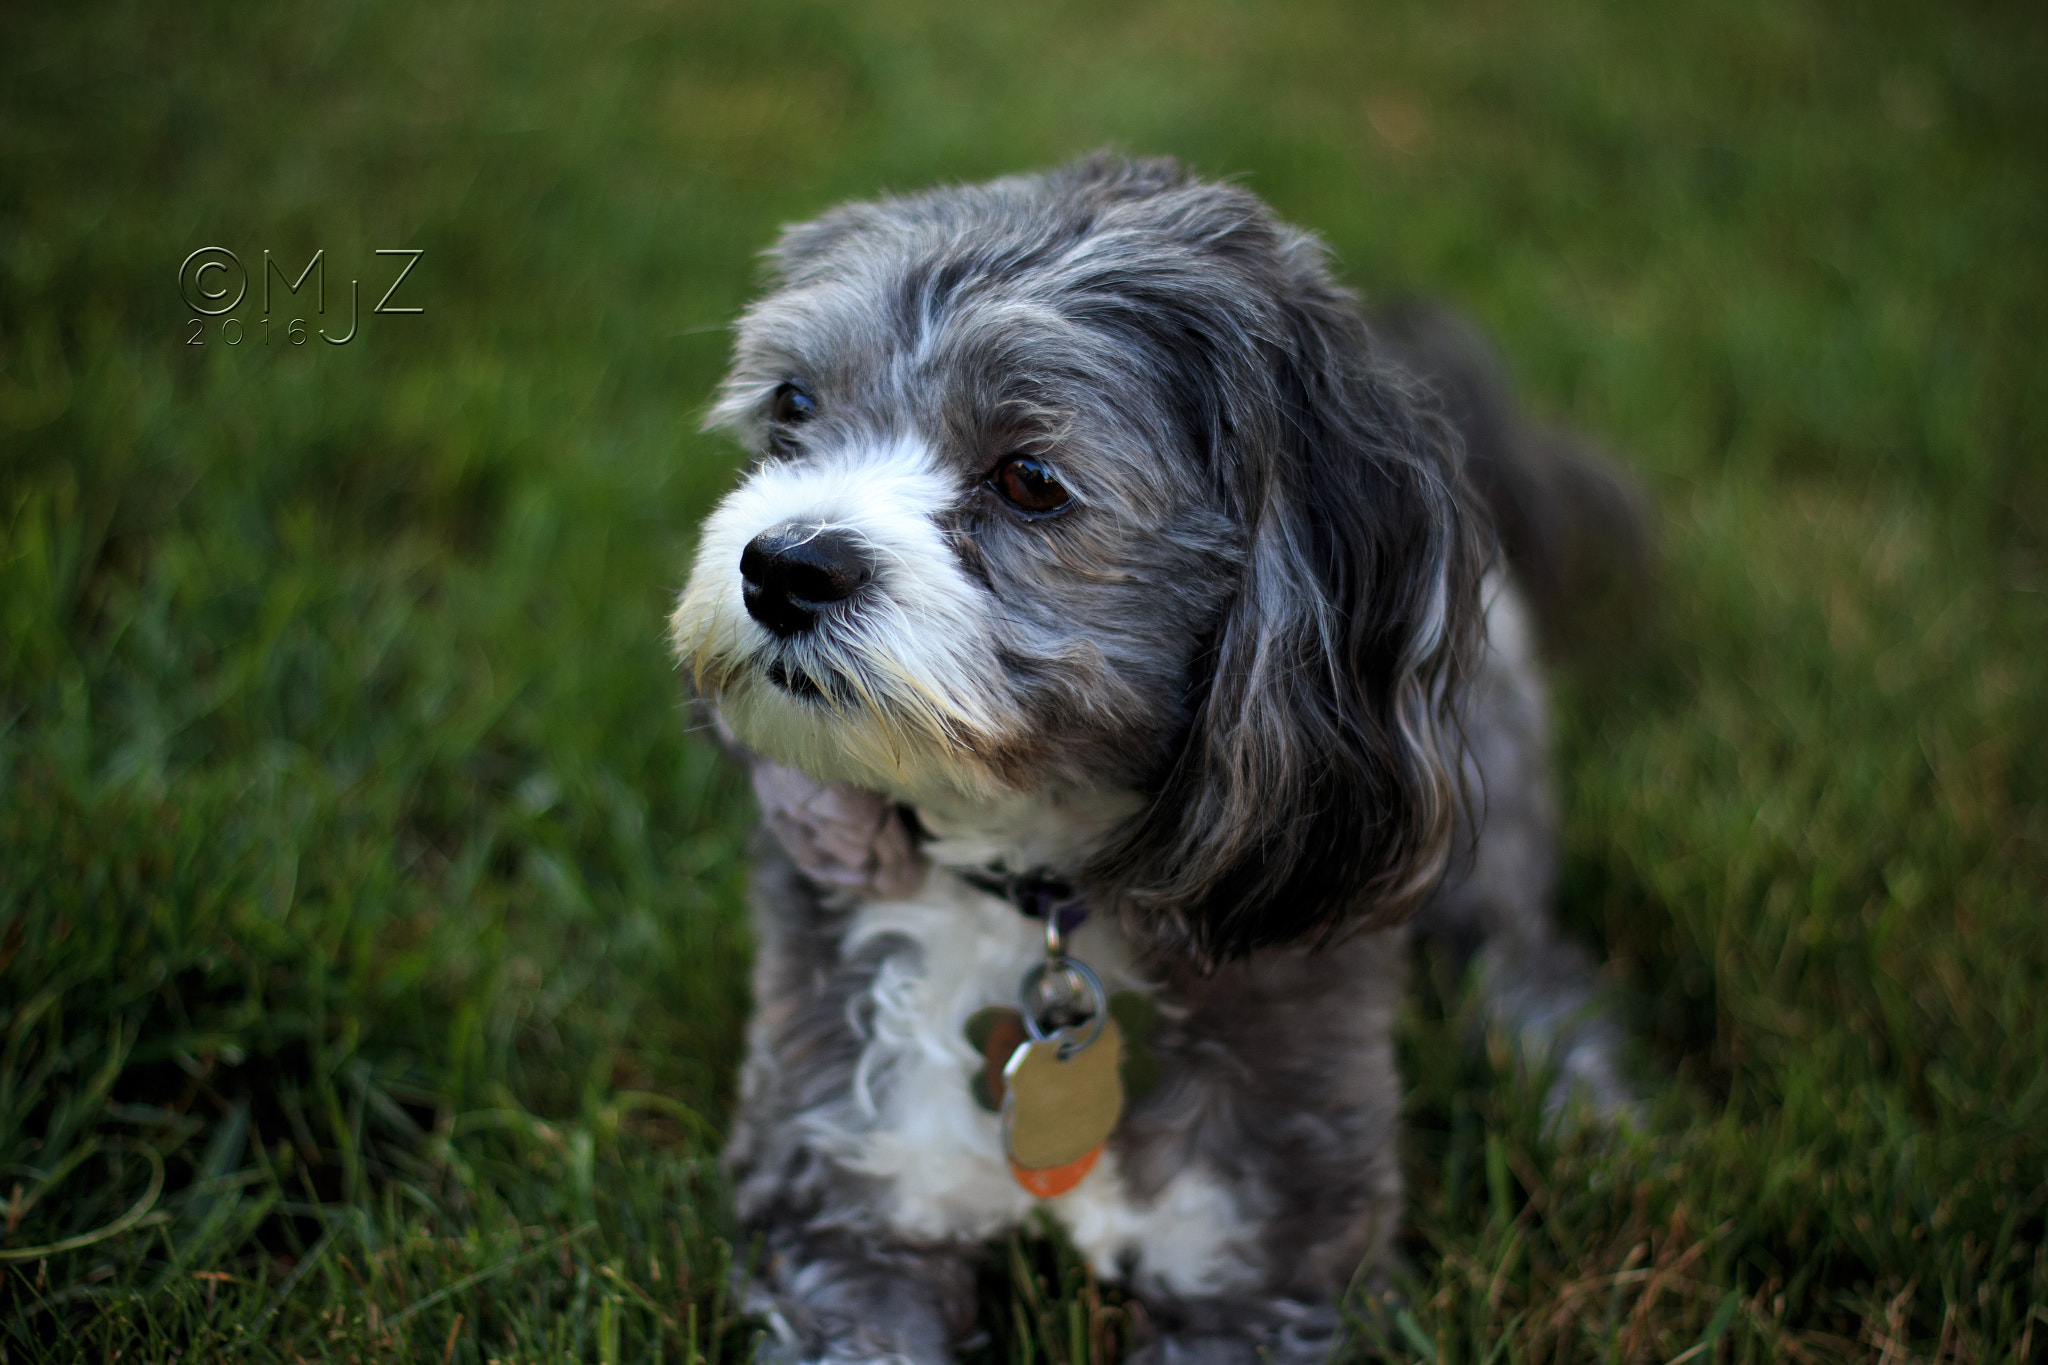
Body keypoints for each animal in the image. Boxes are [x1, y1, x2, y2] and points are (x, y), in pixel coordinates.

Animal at [671, 154, 1646, 1358]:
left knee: (1525, 969)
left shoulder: (1273, 1277)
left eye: (1031, 478)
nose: (784, 568)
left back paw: (1594, 1122)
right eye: (793, 405)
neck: (1034, 895)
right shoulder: (837, 1219)